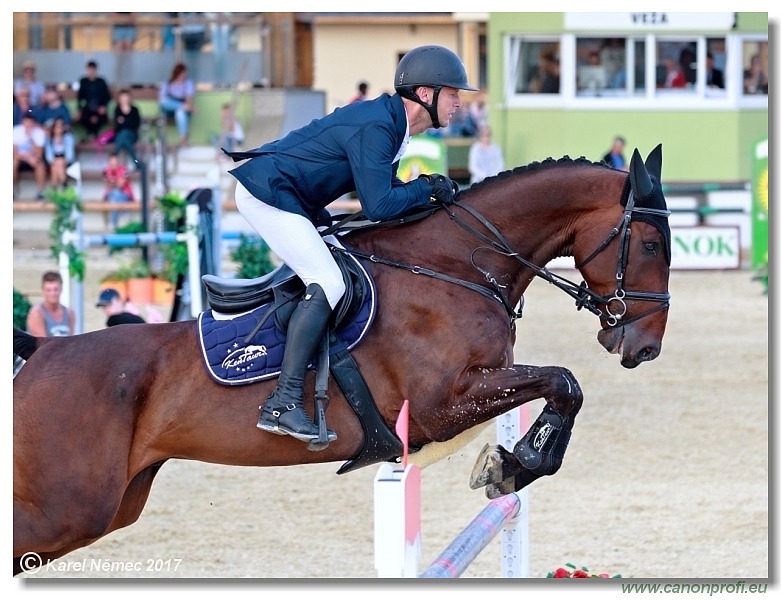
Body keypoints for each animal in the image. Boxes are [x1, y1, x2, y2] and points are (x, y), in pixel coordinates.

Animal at [12, 145, 672, 576]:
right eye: (649, 244)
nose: (644, 347)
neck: (453, 265)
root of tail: (43, 351)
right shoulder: (440, 404)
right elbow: (564, 381)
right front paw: (518, 463)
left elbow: (561, 387)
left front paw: (512, 465)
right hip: (71, 508)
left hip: (111, 503)